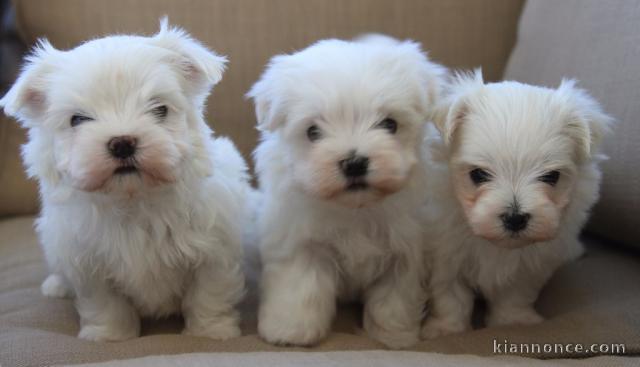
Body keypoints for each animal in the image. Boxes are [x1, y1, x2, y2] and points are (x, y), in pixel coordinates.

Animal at [0, 19, 250, 342]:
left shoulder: (215, 250)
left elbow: (209, 294)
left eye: (160, 109)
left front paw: (211, 332)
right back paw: (57, 285)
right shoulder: (88, 264)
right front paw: (109, 336)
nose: (122, 143)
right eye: (77, 119)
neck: (133, 198)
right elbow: (105, 303)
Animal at [249, 36, 444, 350]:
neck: (355, 209)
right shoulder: (300, 242)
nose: (354, 163)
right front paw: (290, 332)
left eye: (389, 124)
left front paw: (393, 336)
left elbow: (393, 300)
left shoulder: (407, 251)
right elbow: (300, 289)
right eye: (313, 132)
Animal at [422, 69, 612, 340]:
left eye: (551, 177)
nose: (515, 218)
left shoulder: (532, 263)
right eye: (478, 174)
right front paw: (446, 329)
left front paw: (512, 322)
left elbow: (515, 294)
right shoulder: (445, 253)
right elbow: (451, 296)